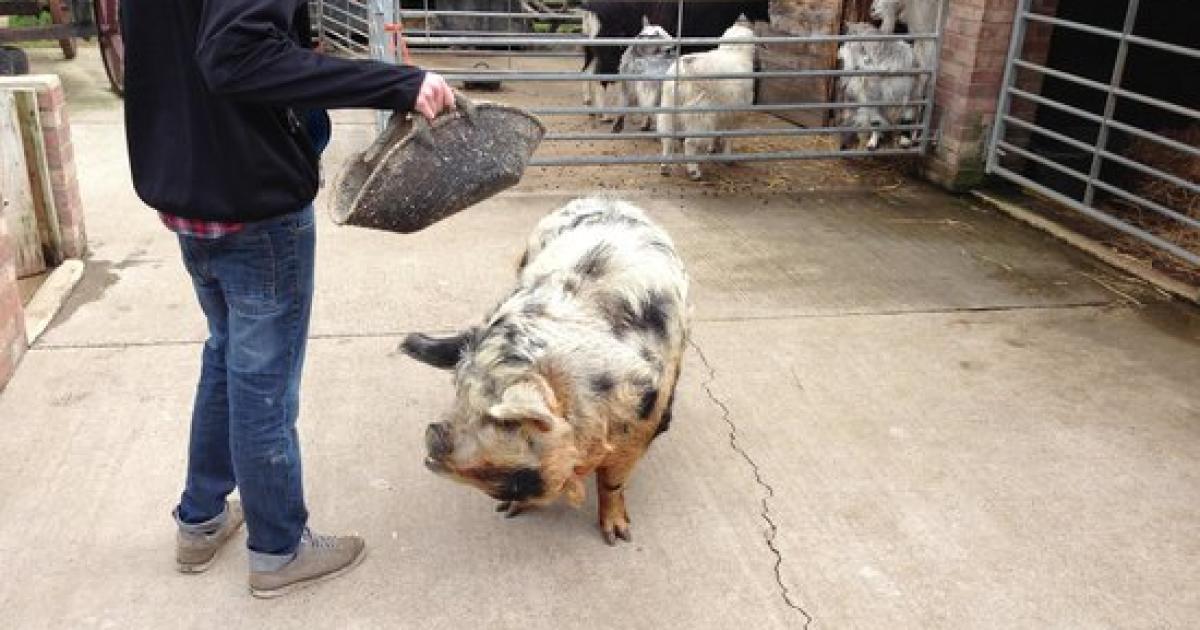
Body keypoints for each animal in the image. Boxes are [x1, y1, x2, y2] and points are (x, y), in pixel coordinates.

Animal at [657, 22, 756, 180]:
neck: (734, 51)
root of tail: (685, 68)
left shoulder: (721, 112)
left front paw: (713, 147)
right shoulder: (734, 113)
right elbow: (730, 136)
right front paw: (727, 158)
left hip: (669, 107)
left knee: (667, 138)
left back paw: (665, 166)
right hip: (699, 112)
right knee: (690, 143)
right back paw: (693, 171)